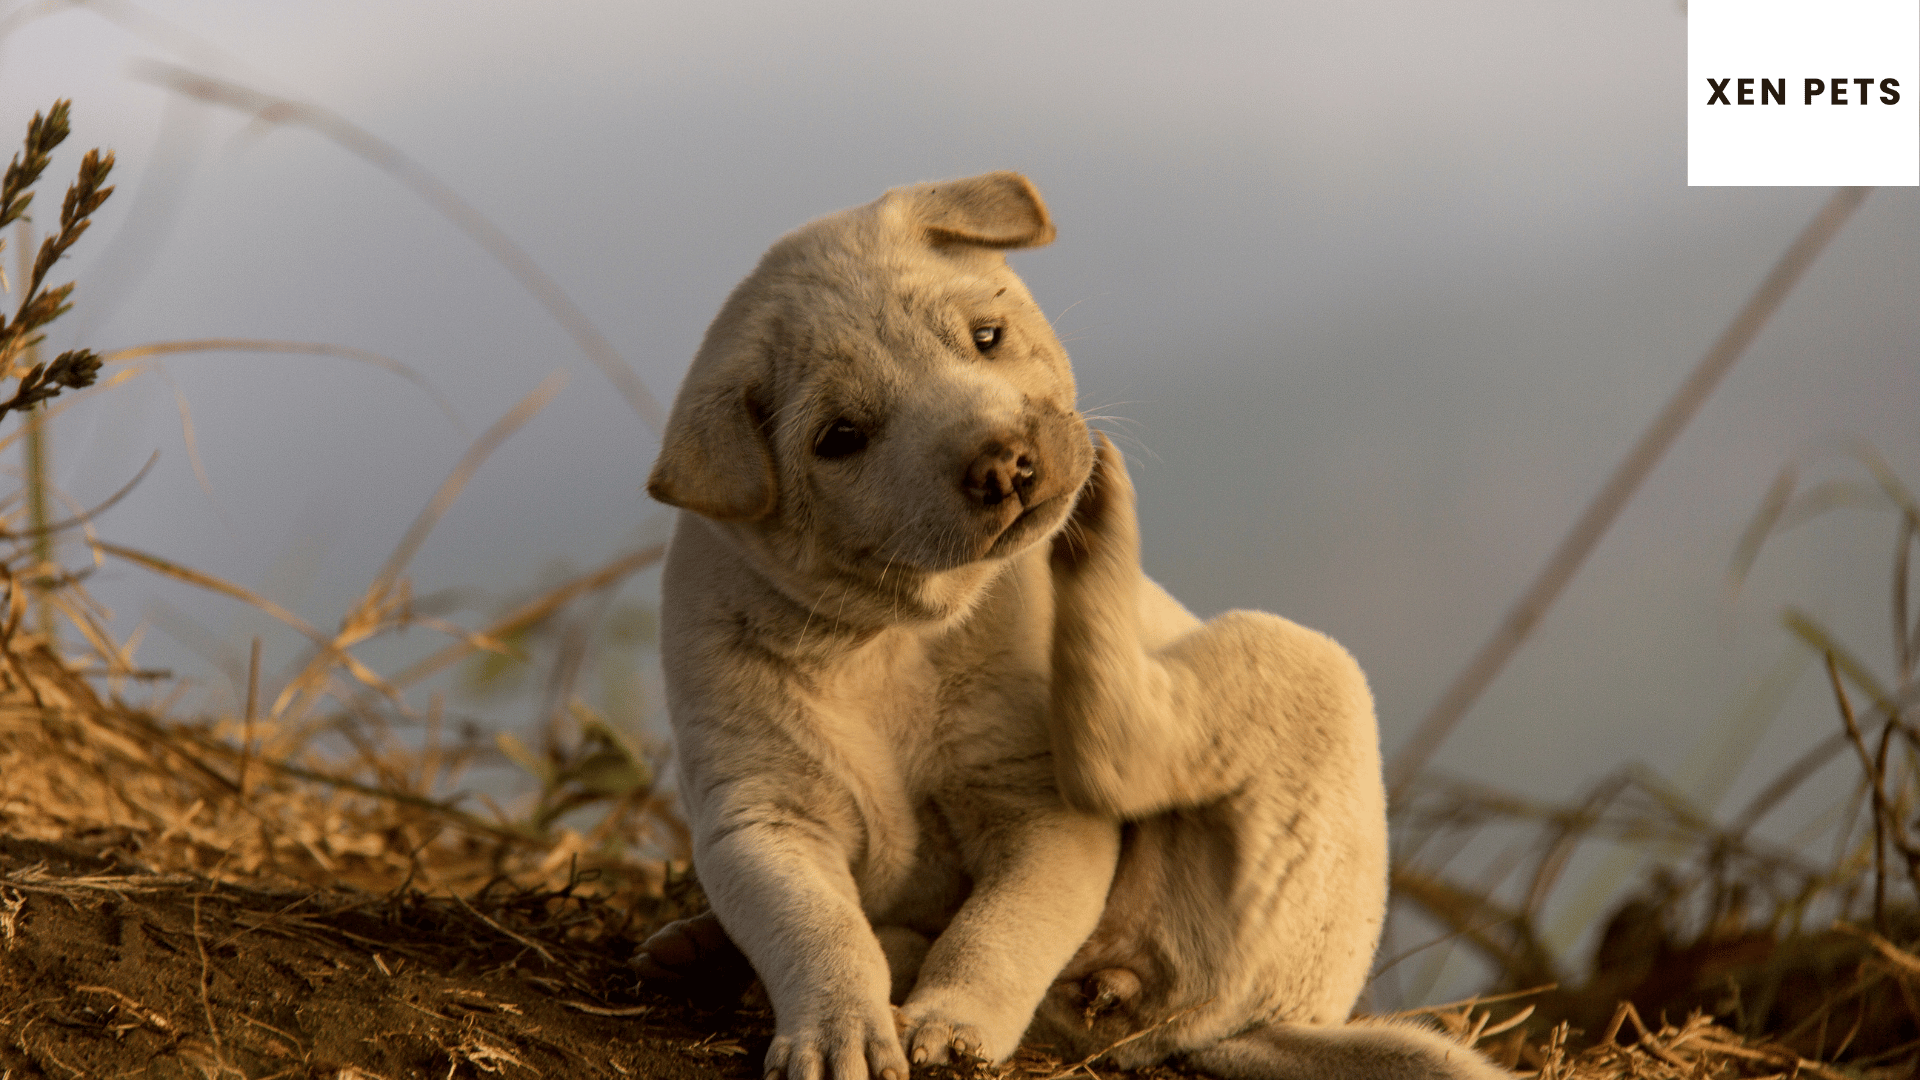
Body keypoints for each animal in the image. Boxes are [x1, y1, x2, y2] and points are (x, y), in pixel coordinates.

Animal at [637, 171, 1505, 1068]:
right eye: (841, 437)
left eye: (986, 337)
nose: (1006, 465)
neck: (895, 636)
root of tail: (1250, 1032)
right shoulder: (763, 818)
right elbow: (818, 931)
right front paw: (841, 1031)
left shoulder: (1041, 812)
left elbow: (998, 931)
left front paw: (952, 1026)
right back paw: (703, 955)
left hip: (1298, 676)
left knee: (1127, 749)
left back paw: (1102, 533)